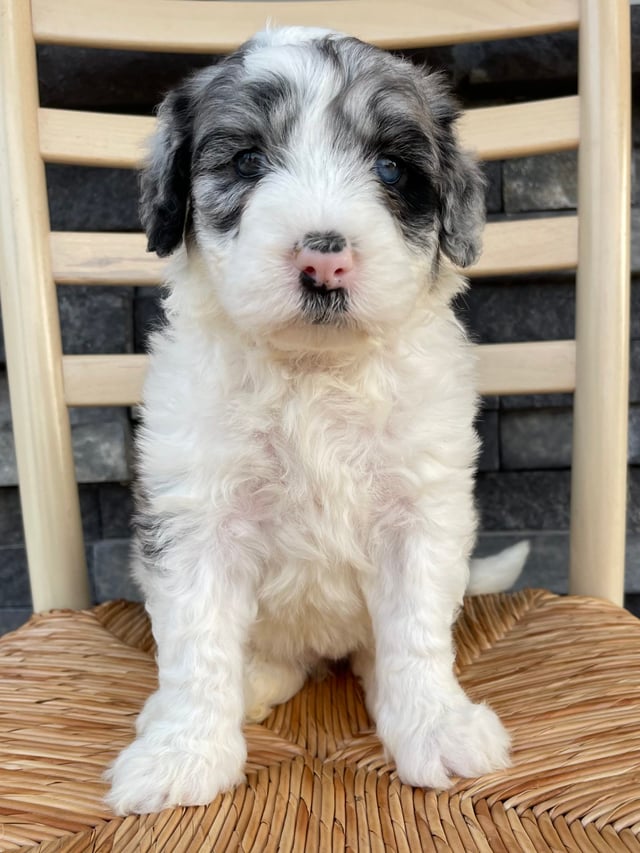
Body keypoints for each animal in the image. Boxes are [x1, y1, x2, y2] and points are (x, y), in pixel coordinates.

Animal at [106, 25, 524, 812]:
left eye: (391, 167)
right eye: (247, 161)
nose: (323, 262)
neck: (313, 372)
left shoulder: (421, 513)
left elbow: (418, 632)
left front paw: (436, 725)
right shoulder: (196, 516)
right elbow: (196, 643)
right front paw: (181, 754)